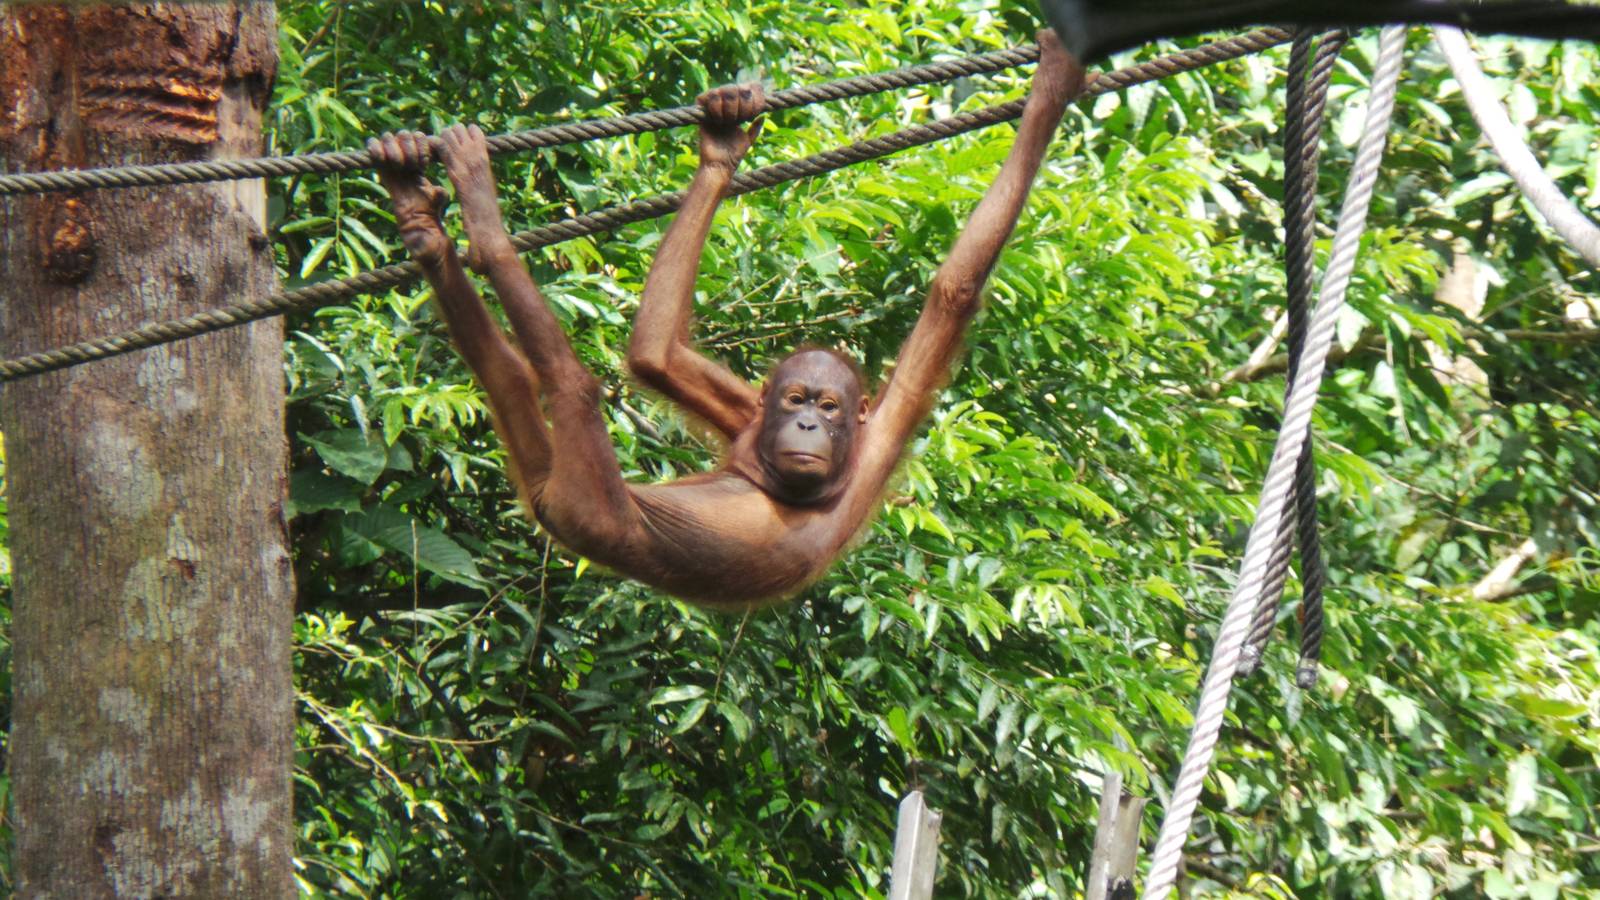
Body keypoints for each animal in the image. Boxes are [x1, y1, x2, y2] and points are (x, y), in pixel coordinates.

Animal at [368, 29, 1084, 609]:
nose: (805, 423)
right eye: (795, 399)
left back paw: (476, 217)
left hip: (587, 505)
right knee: (519, 380)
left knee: (569, 386)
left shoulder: (885, 429)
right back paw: (424, 220)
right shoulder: (748, 414)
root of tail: (545, 495)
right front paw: (723, 143)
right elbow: (656, 354)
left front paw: (1055, 81)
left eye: (828, 407)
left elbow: (955, 288)